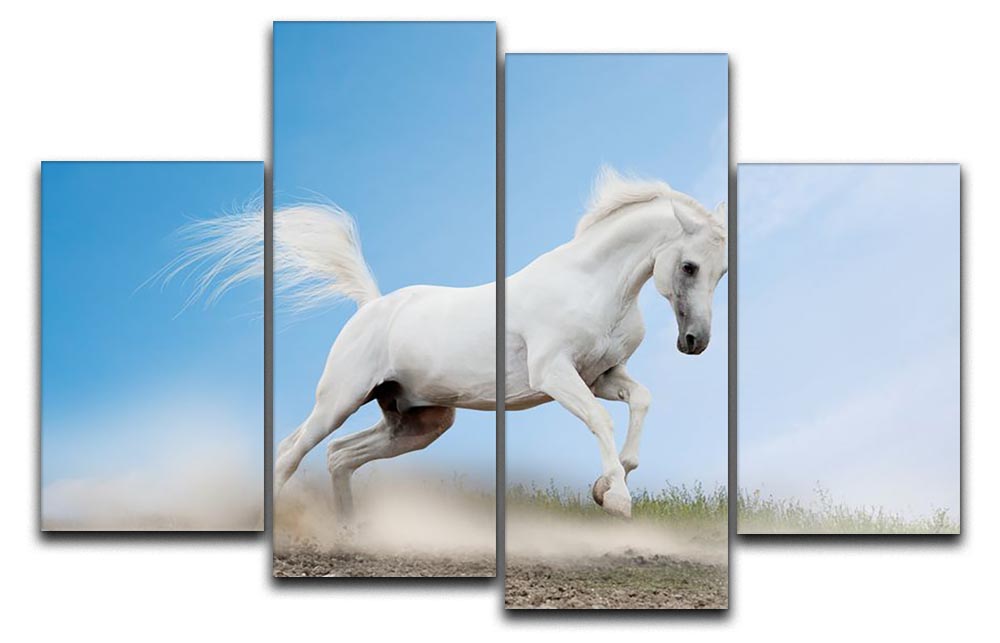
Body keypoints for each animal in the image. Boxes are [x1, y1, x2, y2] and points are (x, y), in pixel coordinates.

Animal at [180, 167, 726, 521]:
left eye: (721, 272)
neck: (592, 285)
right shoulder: (554, 374)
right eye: (689, 266)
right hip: (339, 400)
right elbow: (601, 420)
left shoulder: (601, 376)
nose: (694, 342)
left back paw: (352, 533)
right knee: (290, 452)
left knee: (338, 456)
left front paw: (609, 483)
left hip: (419, 422)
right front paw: (616, 499)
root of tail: (370, 306)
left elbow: (641, 401)